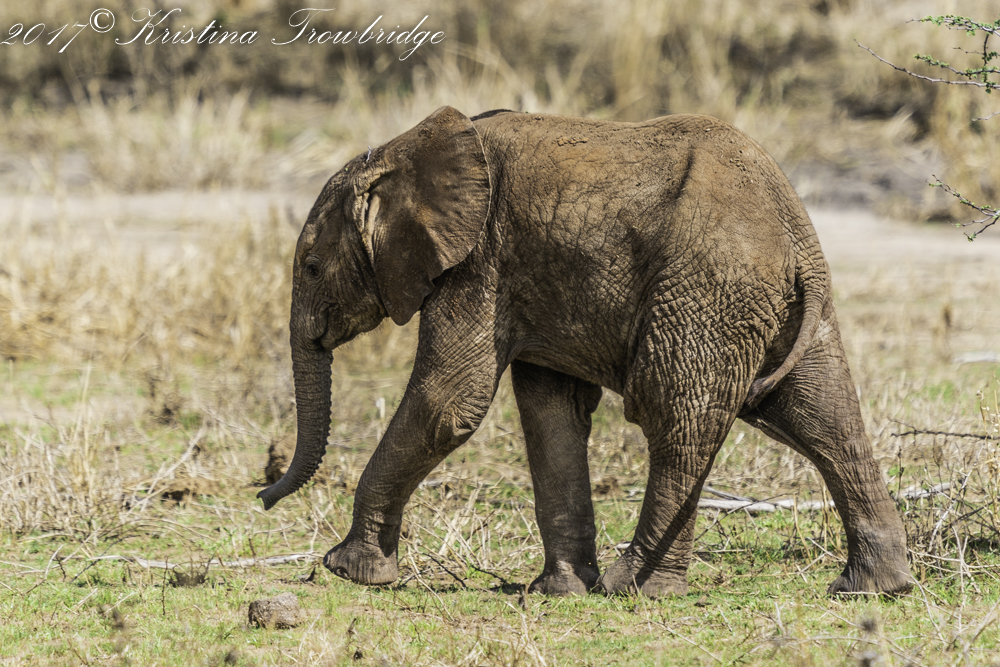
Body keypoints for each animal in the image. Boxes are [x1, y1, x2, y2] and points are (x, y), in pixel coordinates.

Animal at [257, 106, 913, 598]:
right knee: (823, 418)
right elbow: (551, 411)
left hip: (707, 290)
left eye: (311, 267)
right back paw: (872, 588)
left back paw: (636, 587)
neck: (404, 151)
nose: (262, 496)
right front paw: (559, 591)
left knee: (675, 421)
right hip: (773, 306)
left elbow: (450, 401)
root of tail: (795, 226)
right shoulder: (528, 276)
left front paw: (348, 570)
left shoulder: (480, 261)